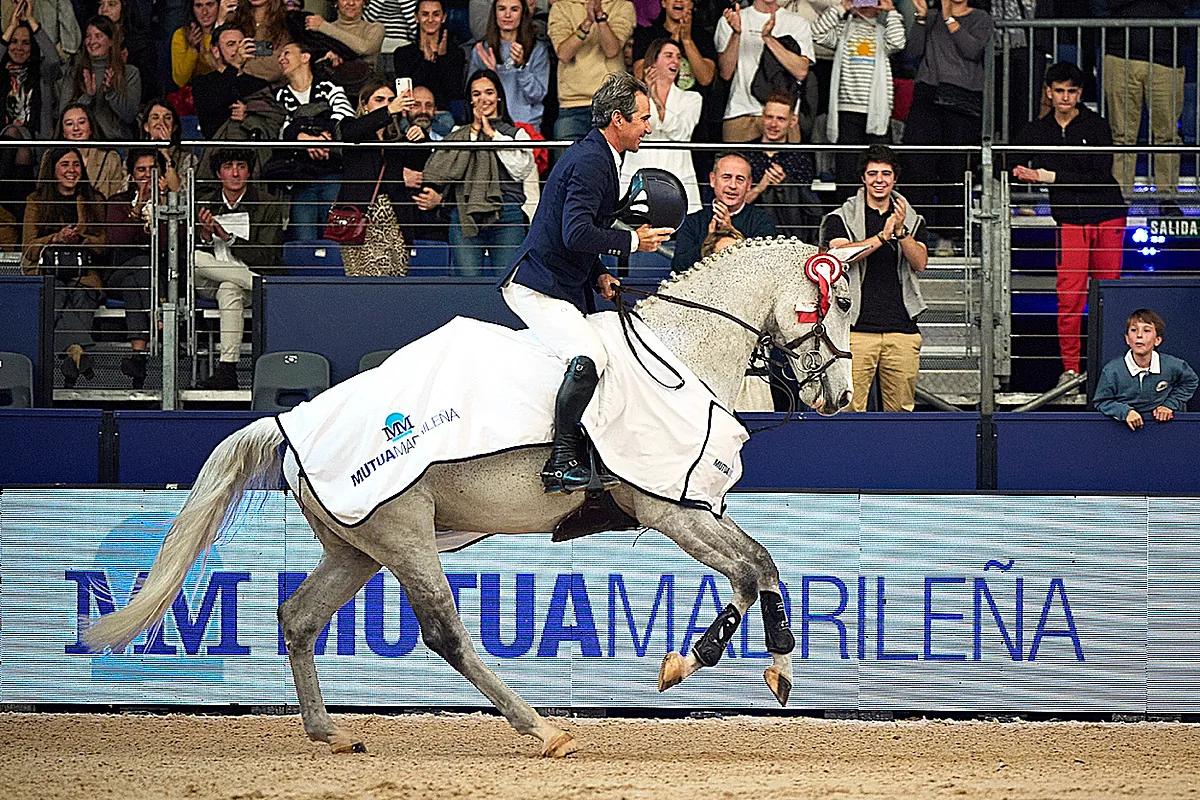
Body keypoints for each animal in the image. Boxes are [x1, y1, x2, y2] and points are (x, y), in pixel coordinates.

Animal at [83, 237, 855, 758]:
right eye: (841, 302)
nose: (843, 400)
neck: (679, 354)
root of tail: (289, 422)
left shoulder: (698, 508)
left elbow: (761, 567)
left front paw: (745, 665)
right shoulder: (671, 509)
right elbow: (752, 569)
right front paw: (717, 661)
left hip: (358, 548)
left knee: (298, 618)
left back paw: (330, 732)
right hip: (404, 535)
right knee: (445, 634)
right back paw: (541, 729)